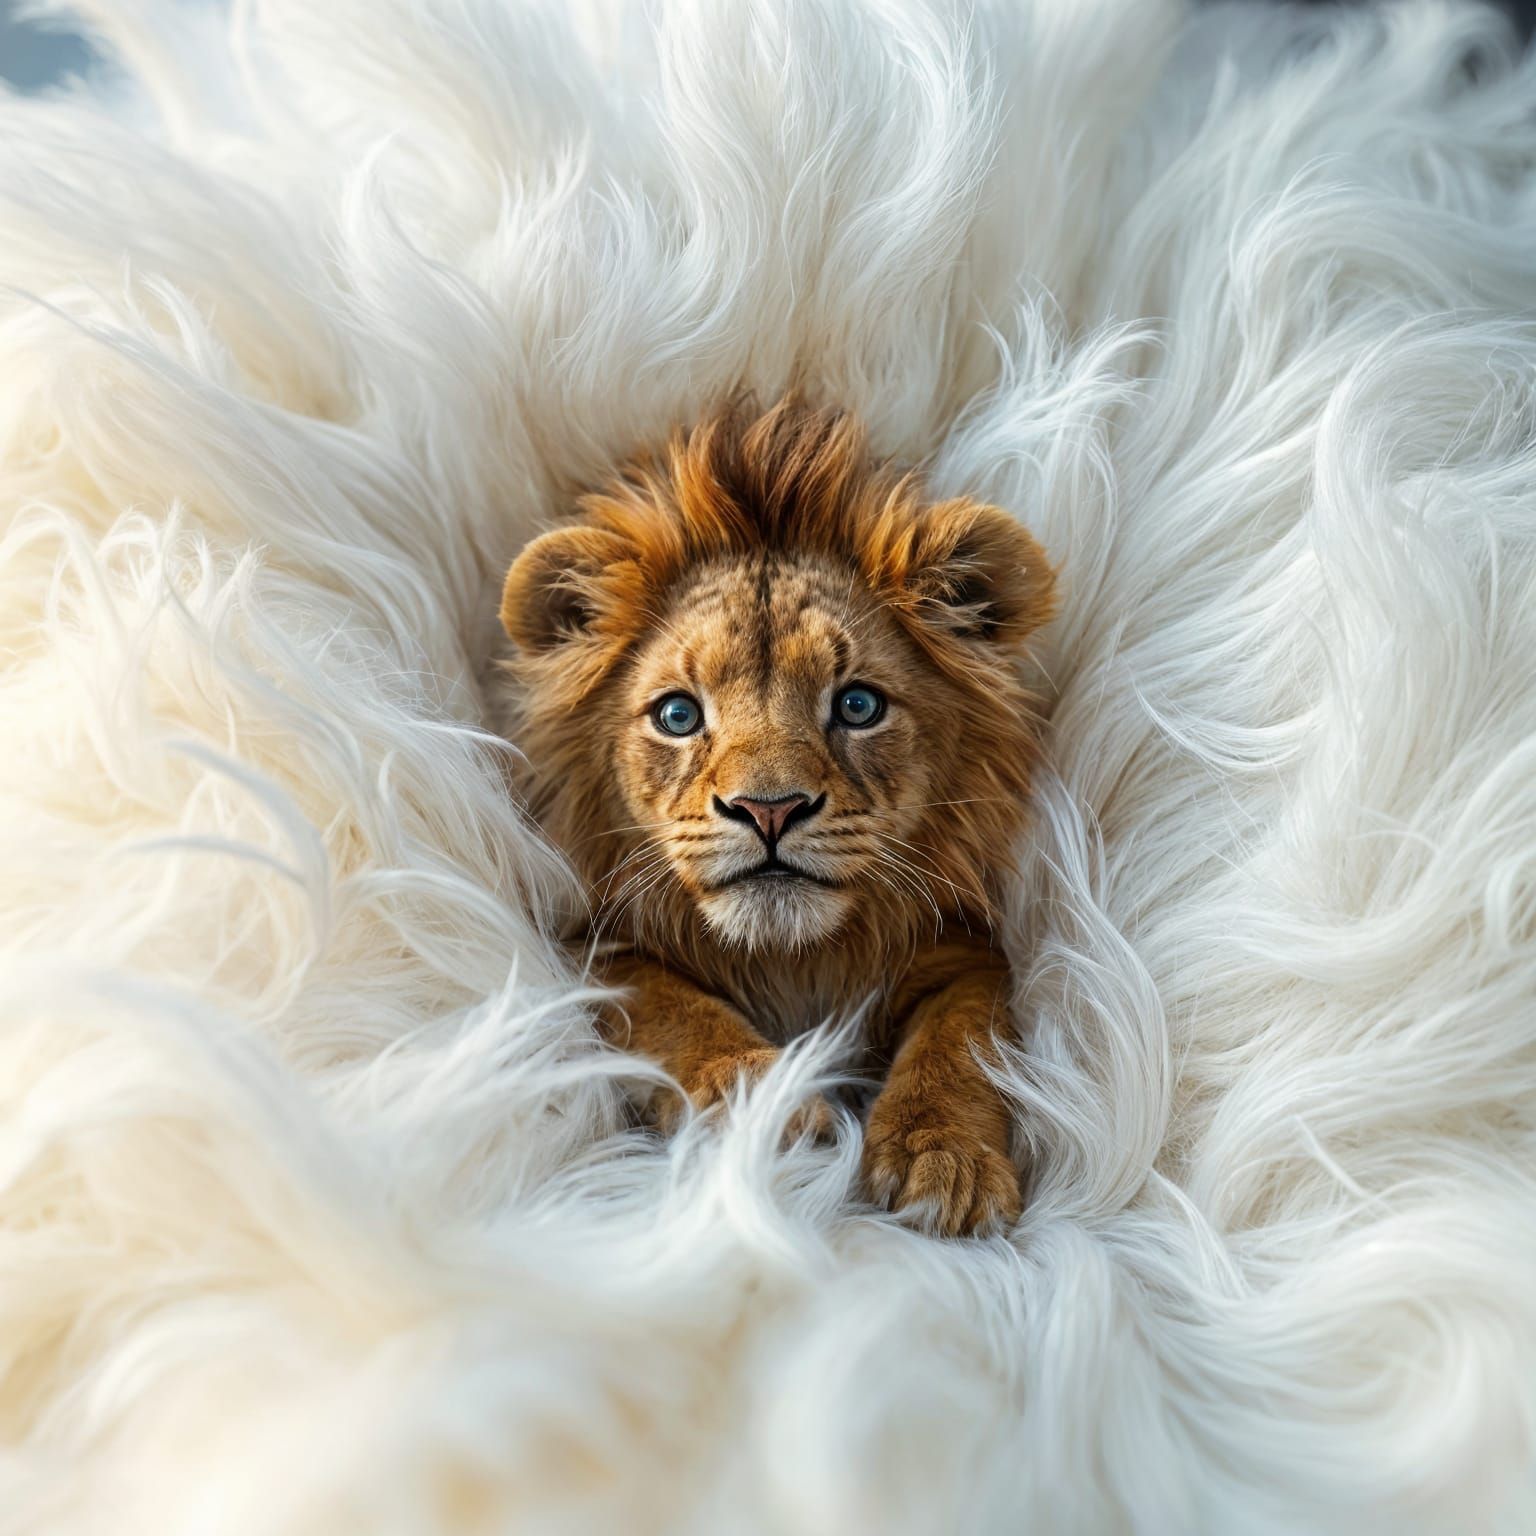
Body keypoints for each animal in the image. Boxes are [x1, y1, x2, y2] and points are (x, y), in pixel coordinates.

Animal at [496, 398, 1056, 1236]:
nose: (769, 809)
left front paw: (944, 1157)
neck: (791, 959)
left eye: (857, 705)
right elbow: (667, 1005)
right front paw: (767, 1106)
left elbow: (963, 1032)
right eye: (678, 714)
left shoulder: (962, 945)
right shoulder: (591, 947)